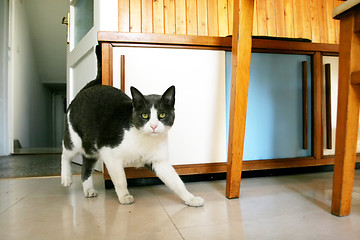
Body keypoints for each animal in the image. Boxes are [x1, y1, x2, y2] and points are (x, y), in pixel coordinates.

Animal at [60, 46, 204, 207]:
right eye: (145, 115)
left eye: (162, 115)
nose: (154, 126)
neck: (143, 139)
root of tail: (92, 85)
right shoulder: (111, 155)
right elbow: (121, 180)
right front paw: (125, 196)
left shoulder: (160, 162)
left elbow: (177, 182)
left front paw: (191, 198)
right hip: (75, 139)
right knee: (65, 152)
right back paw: (66, 178)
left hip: (91, 148)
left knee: (86, 167)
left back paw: (89, 190)